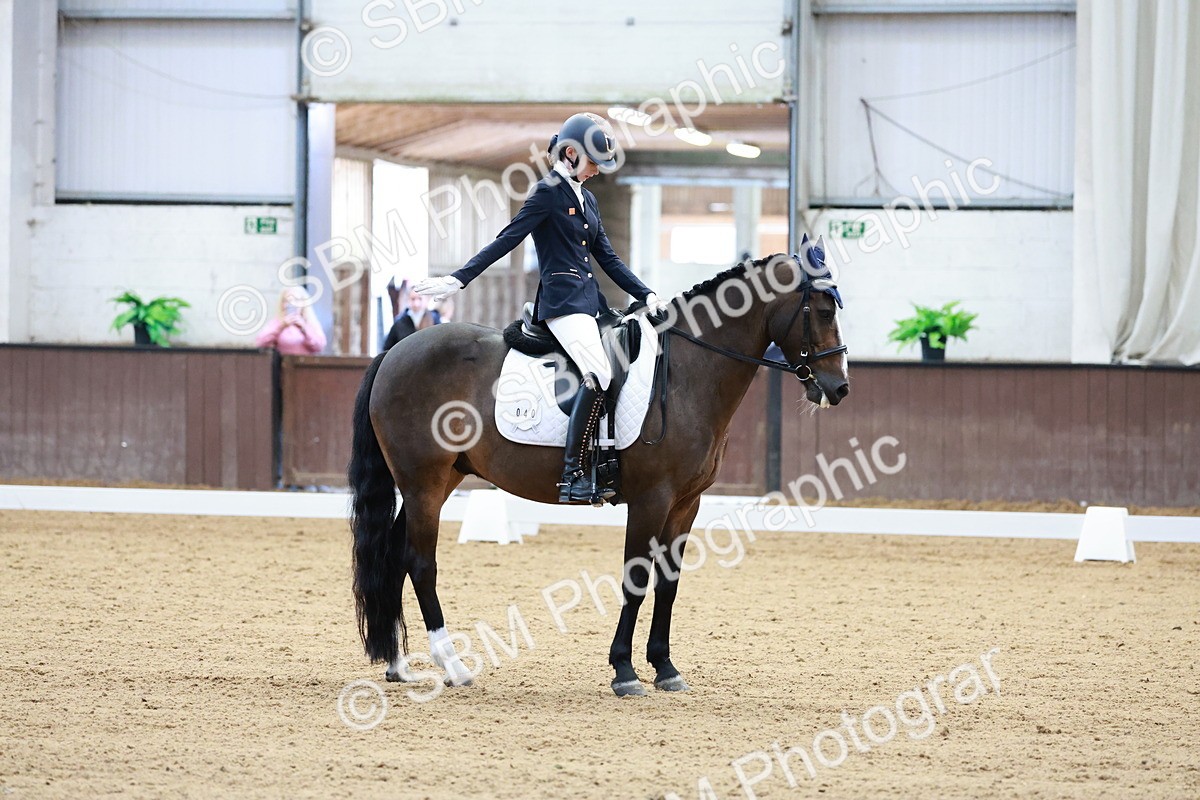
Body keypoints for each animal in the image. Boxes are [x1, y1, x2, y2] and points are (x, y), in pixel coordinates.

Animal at [348, 249, 849, 696]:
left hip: (439, 481)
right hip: (424, 484)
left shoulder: (686, 503)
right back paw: (452, 665)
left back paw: (398, 665)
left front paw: (665, 668)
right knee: (420, 563)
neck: (687, 373)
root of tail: (394, 352)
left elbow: (668, 584)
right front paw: (624, 671)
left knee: (394, 555)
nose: (839, 388)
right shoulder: (651, 499)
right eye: (824, 311)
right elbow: (636, 580)